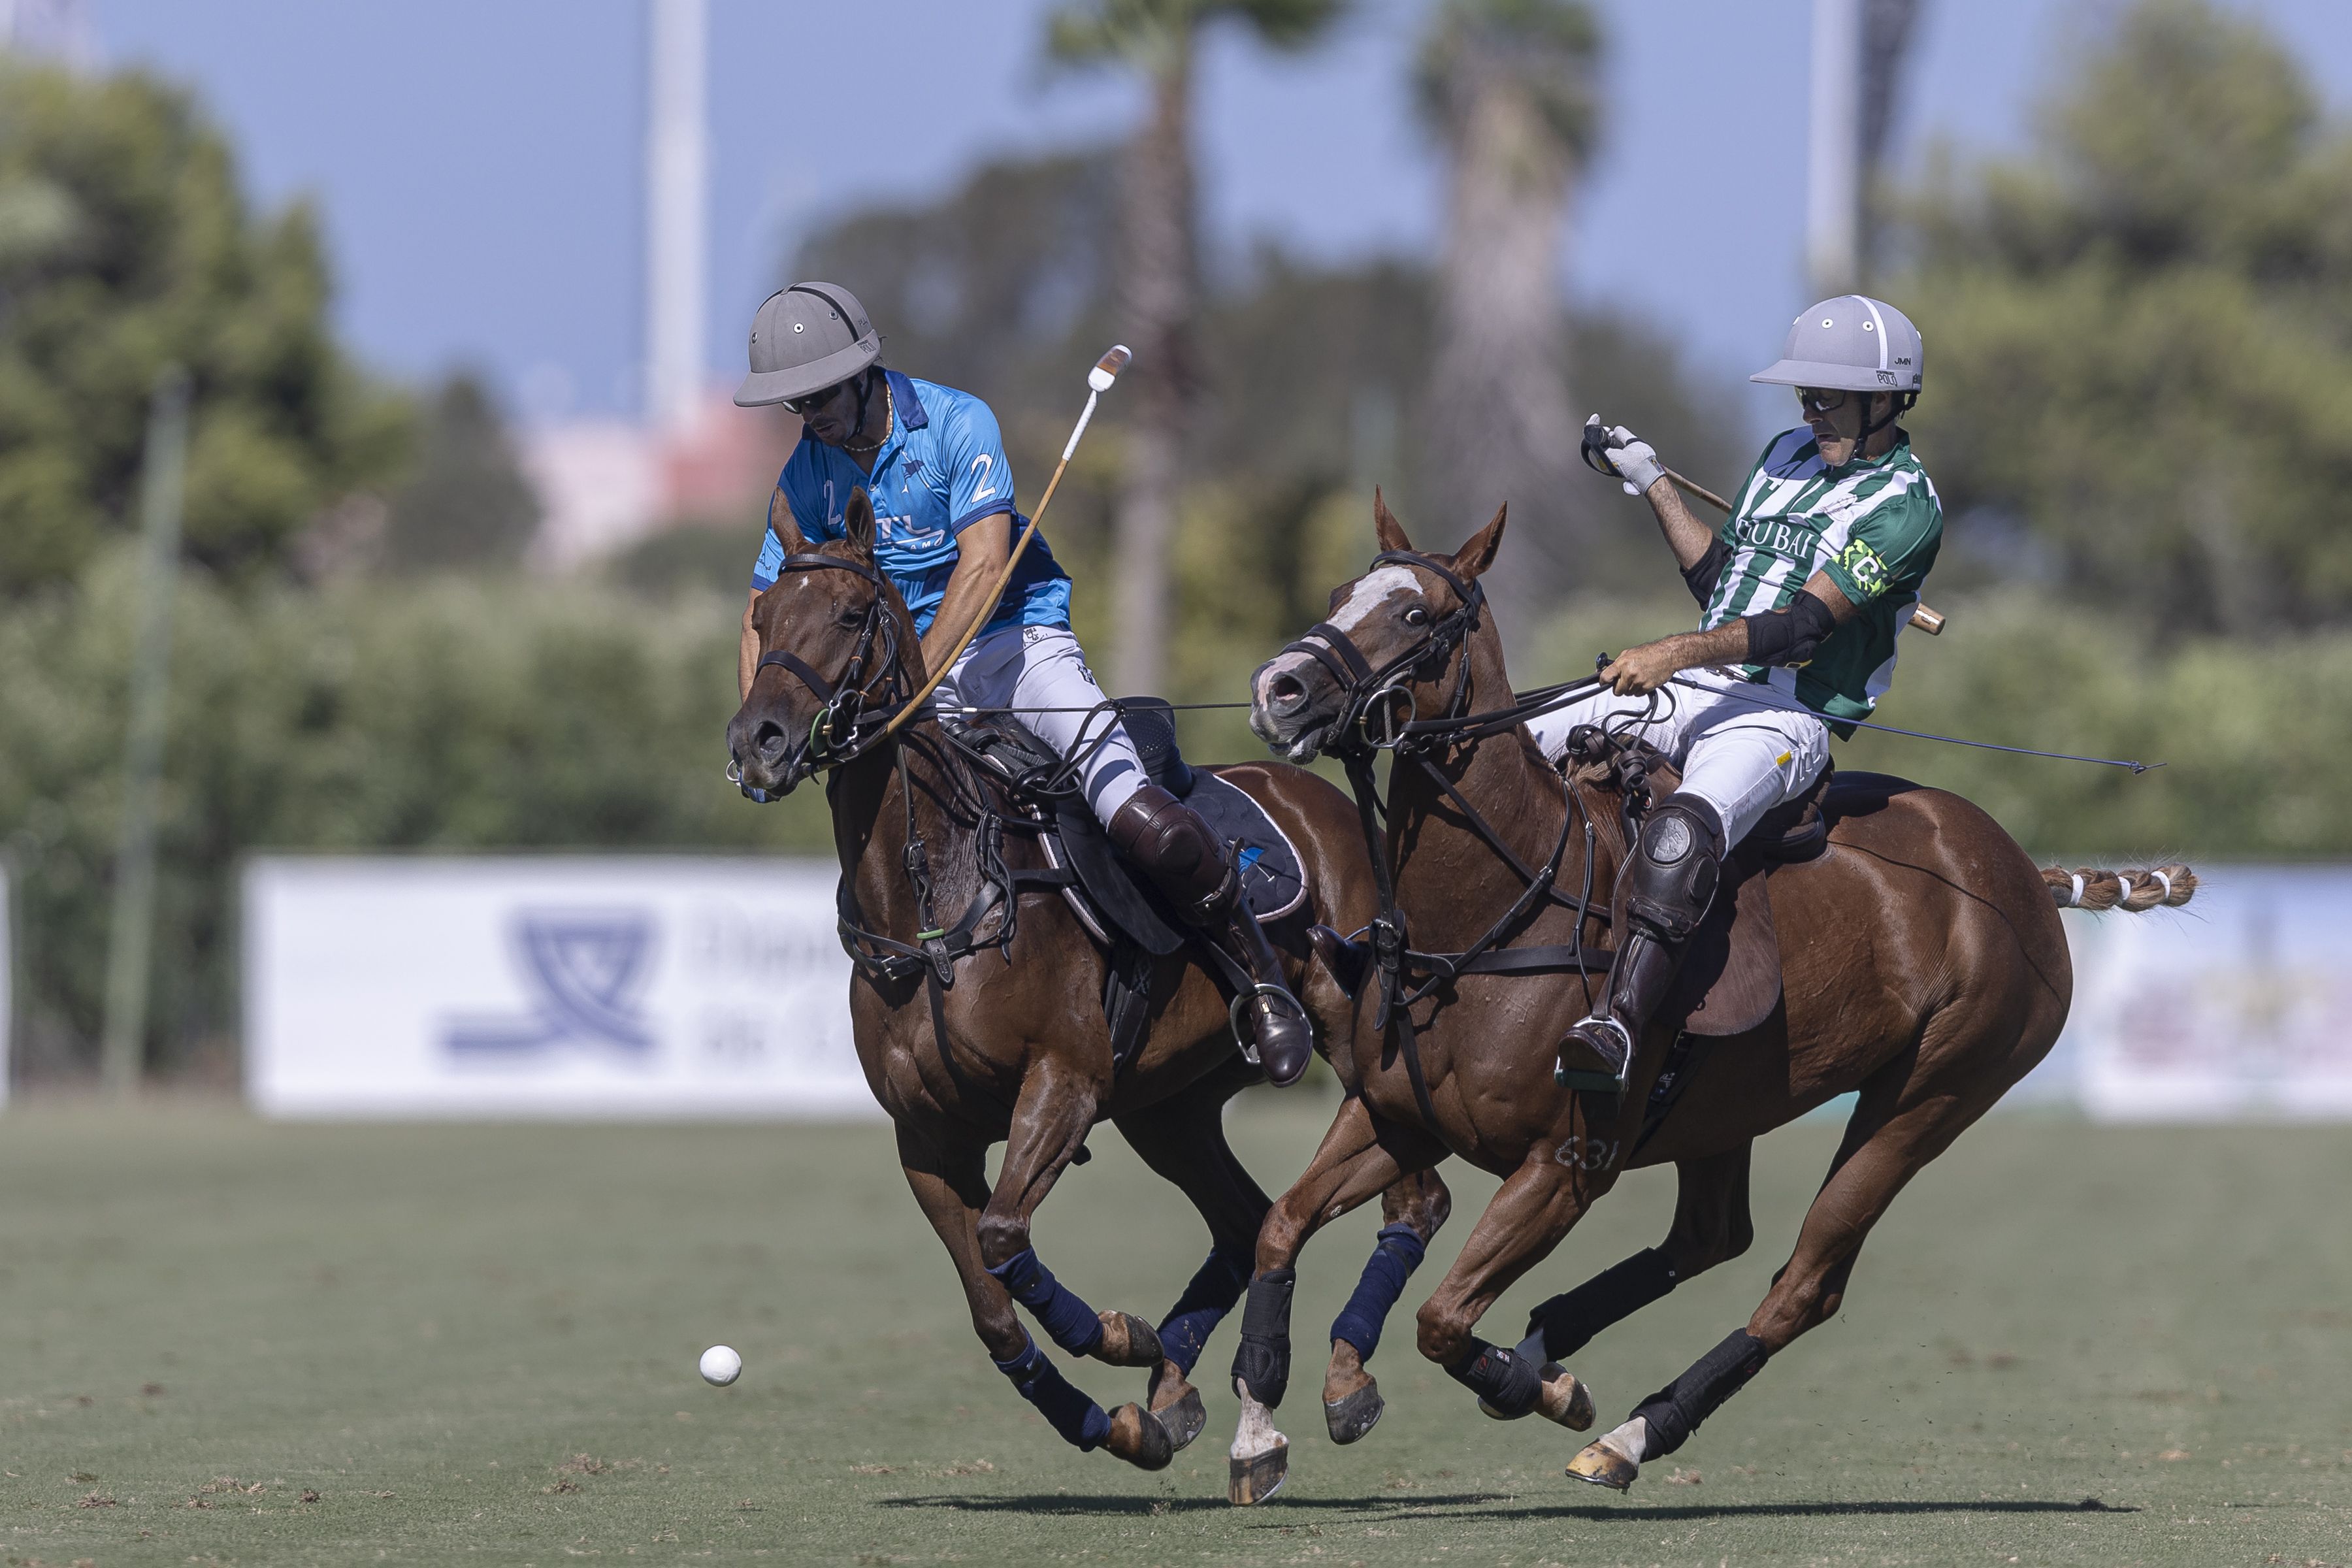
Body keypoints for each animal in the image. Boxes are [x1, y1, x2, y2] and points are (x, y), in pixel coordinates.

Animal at [719, 486, 1448, 1476]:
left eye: (847, 613)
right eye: (761, 617)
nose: (758, 740)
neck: (934, 902)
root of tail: (1328, 801)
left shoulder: (1064, 1083)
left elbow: (1003, 1236)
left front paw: (1117, 1335)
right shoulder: (926, 1138)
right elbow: (991, 1308)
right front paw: (1112, 1419)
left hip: (1347, 1042)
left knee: (1413, 1192)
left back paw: (1335, 1381)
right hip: (1168, 1106)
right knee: (1245, 1217)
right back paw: (1177, 1396)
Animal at [1223, 496, 2192, 1504]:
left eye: (1417, 616)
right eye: (1339, 594)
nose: (1279, 688)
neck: (1493, 912)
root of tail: (2026, 875)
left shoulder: (1567, 1165)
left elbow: (1443, 1320)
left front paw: (1546, 1393)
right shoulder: (1394, 1116)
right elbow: (1280, 1229)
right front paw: (1271, 1425)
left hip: (1932, 1095)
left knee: (1805, 1281)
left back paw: (1627, 1430)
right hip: (1729, 1101)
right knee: (1712, 1235)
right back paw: (1555, 1347)